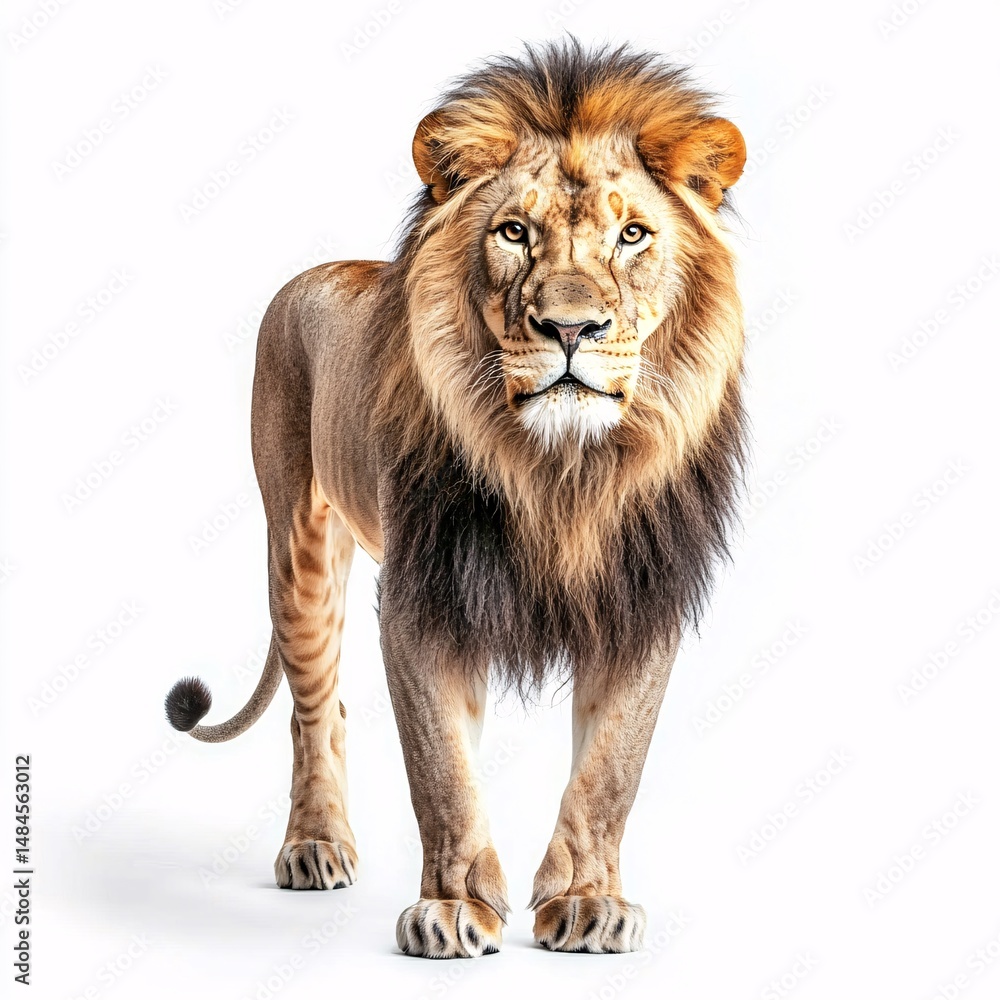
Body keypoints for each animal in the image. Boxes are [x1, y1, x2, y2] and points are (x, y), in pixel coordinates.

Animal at [165, 41, 747, 958]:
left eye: (632, 234)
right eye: (514, 232)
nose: (571, 329)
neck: (560, 474)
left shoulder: (639, 599)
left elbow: (609, 771)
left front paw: (587, 902)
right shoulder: (423, 597)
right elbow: (441, 770)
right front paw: (453, 910)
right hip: (295, 541)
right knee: (315, 708)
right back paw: (314, 847)